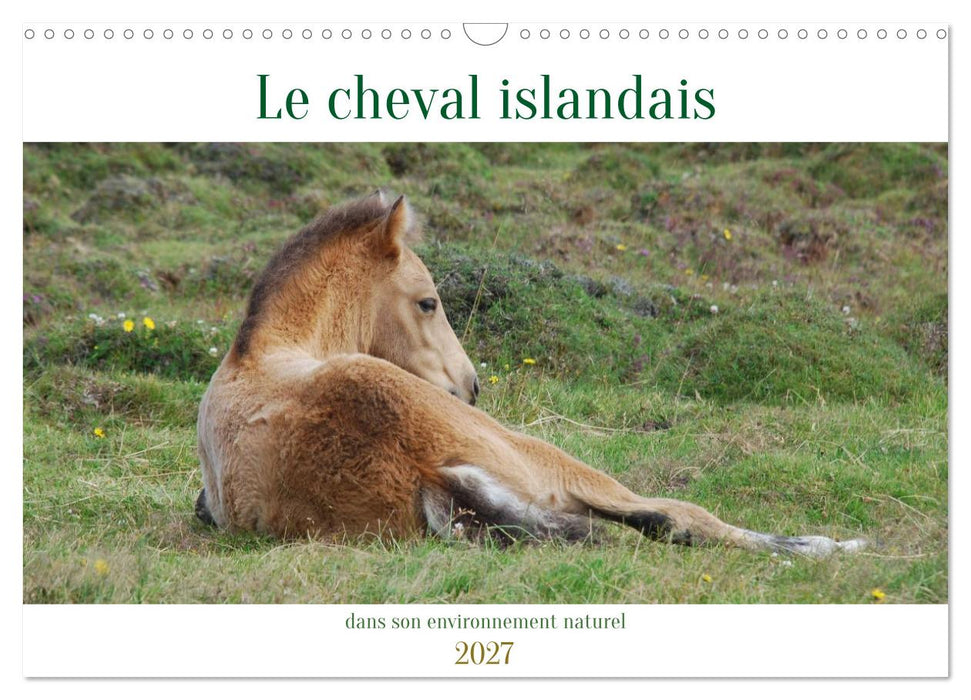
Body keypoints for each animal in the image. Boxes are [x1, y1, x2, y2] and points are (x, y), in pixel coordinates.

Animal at [195, 192, 865, 557]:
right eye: (428, 302)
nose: (471, 387)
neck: (267, 351)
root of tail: (419, 469)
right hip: (542, 460)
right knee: (675, 517)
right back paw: (830, 547)